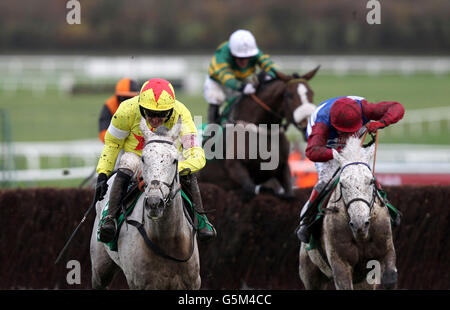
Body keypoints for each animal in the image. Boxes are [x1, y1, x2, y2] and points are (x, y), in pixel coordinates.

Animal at [199, 66, 318, 200]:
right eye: (289, 95)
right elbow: (250, 189)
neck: (262, 129)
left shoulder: (282, 168)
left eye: (311, 93)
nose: (309, 123)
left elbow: (289, 194)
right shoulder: (234, 166)